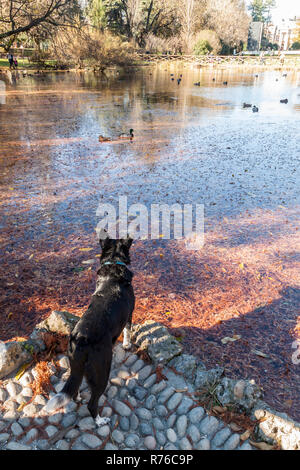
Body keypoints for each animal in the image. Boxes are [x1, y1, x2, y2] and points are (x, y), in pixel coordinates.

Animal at [45, 235, 134, 422]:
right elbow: (128, 332)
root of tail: (80, 339)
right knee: (92, 403)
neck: (113, 263)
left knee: (75, 388)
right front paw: (127, 345)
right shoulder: (129, 314)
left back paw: (78, 398)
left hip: (76, 367)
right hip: (101, 371)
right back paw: (100, 420)